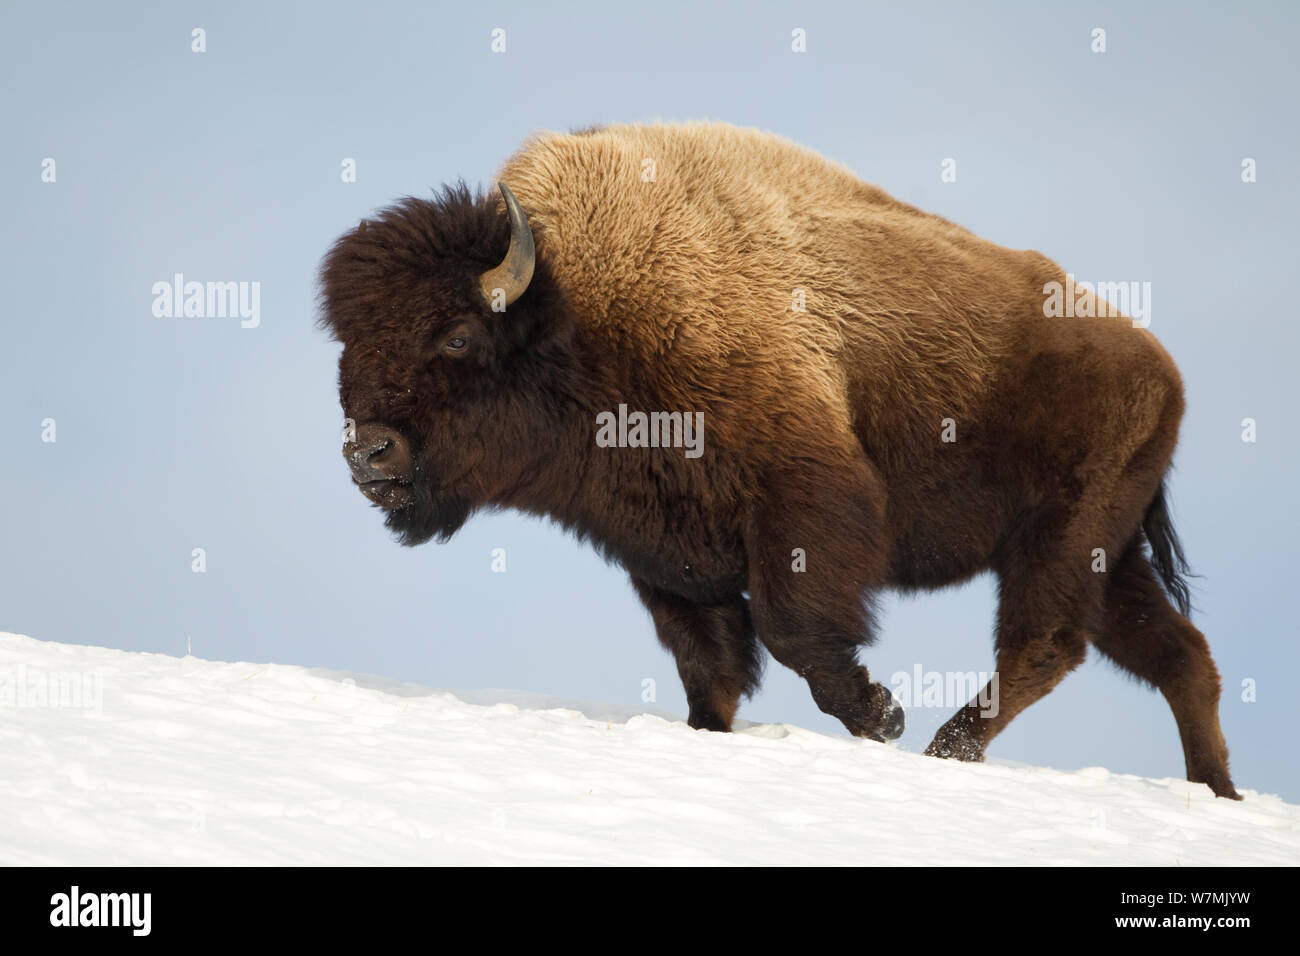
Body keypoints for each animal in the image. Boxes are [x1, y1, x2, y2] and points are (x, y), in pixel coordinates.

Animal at [319, 123, 1242, 806]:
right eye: (347, 340)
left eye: (456, 336)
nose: (368, 451)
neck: (579, 312)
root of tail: (1160, 367)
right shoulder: (670, 556)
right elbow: (711, 667)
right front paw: (713, 734)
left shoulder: (802, 505)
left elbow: (796, 633)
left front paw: (881, 715)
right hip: (1110, 557)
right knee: (1178, 657)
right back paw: (1217, 792)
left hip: (1061, 539)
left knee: (1045, 646)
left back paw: (947, 747)